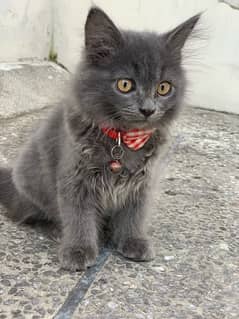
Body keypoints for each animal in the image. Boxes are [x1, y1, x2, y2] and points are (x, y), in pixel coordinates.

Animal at [0, 7, 200, 272]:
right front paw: (78, 250)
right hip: (30, 184)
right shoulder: (75, 178)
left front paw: (133, 240)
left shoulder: (142, 183)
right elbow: (79, 217)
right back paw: (55, 229)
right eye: (125, 84)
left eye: (164, 88)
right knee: (28, 215)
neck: (124, 139)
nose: (148, 109)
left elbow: (134, 214)